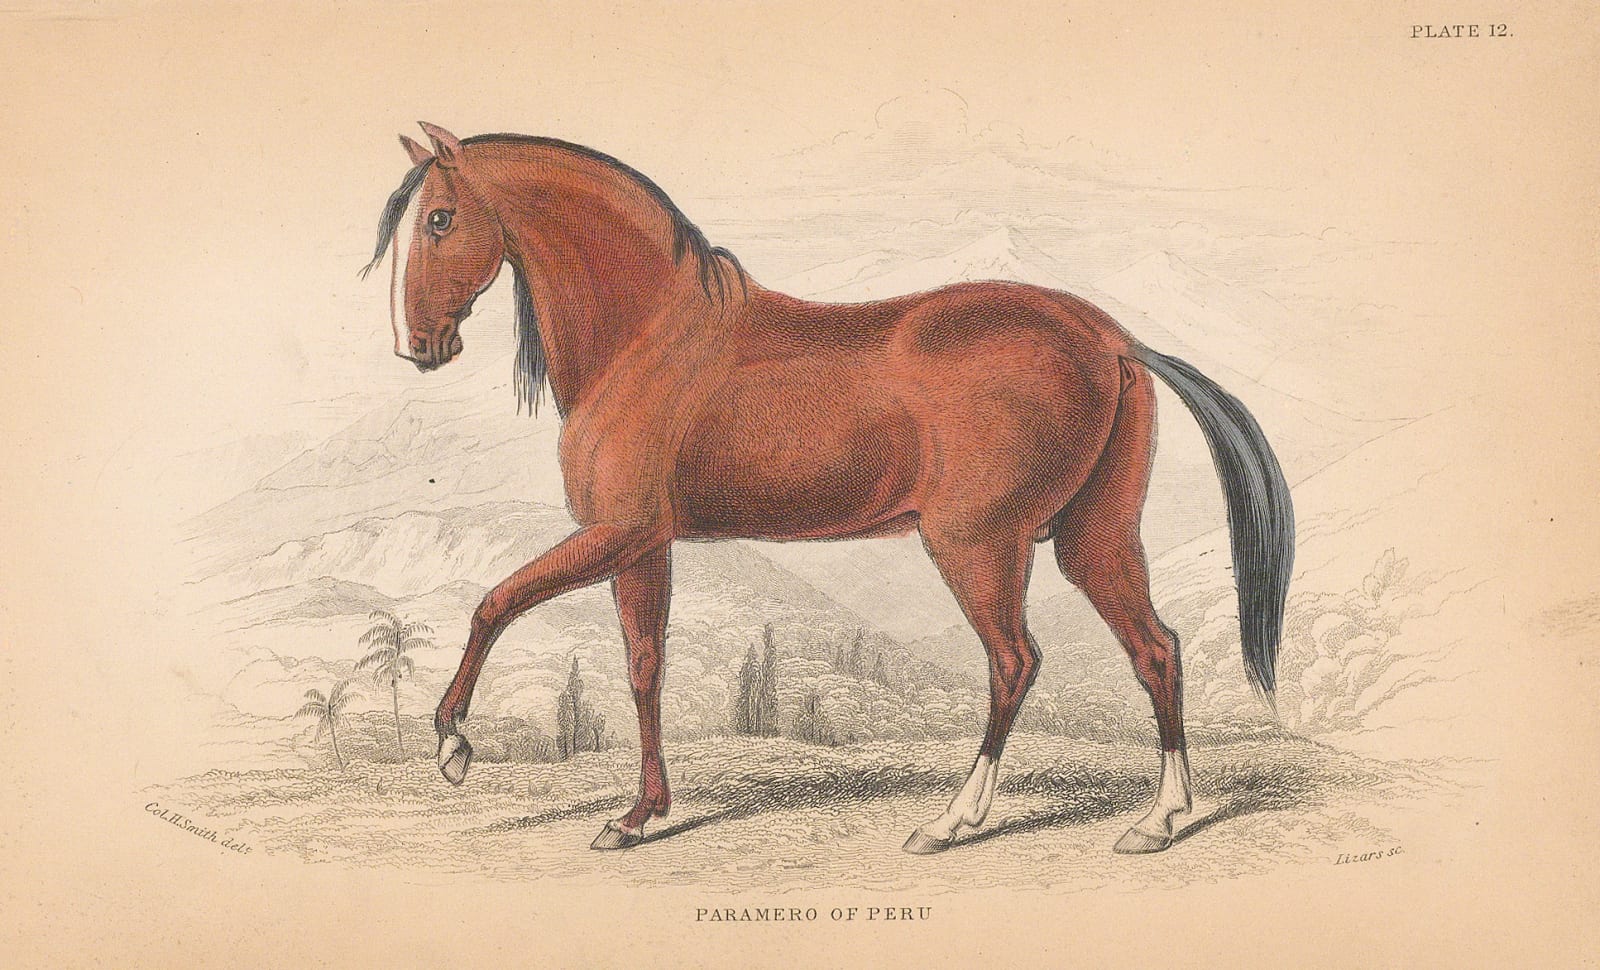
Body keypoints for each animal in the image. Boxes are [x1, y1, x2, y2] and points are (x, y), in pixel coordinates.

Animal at [363, 123, 1293, 855]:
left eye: (441, 218)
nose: (417, 346)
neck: (650, 338)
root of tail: (1112, 340)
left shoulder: (613, 532)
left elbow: (495, 602)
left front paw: (452, 744)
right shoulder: (643, 545)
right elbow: (643, 665)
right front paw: (638, 816)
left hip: (978, 545)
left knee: (1014, 662)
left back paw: (953, 821)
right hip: (1090, 539)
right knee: (1155, 651)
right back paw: (1159, 821)